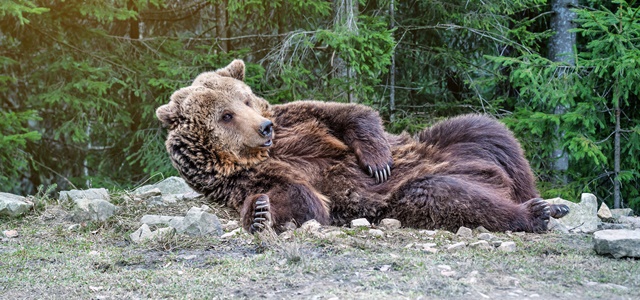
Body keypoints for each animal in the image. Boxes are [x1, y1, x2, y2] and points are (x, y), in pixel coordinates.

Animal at [156, 59, 568, 233]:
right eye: (225, 115)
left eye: (245, 99)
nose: (264, 127)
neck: (262, 152)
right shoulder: (240, 179)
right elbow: (302, 200)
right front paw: (260, 213)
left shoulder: (296, 117)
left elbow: (348, 113)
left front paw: (377, 160)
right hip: (405, 197)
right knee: (445, 194)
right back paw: (532, 213)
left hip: (451, 143)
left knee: (491, 133)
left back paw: (551, 203)